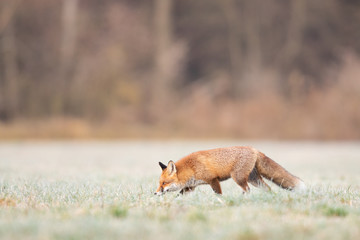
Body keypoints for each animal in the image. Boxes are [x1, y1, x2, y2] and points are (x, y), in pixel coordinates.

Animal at [153, 146, 306, 195]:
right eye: (159, 183)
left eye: (164, 183)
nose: (155, 193)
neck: (191, 167)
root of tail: (253, 149)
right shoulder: (191, 186)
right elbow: (179, 196)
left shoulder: (213, 180)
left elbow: (219, 195)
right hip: (253, 179)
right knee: (267, 188)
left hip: (238, 177)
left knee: (247, 189)